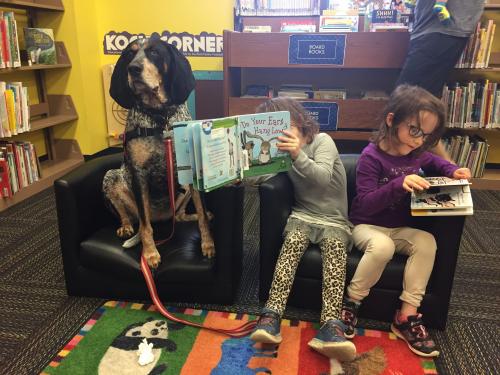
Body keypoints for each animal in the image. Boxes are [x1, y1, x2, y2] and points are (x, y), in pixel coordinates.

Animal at [103, 35, 215, 268]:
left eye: (154, 52)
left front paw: (208, 244)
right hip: (111, 177)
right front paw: (150, 253)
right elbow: (146, 227)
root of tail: (163, 218)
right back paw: (126, 226)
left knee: (180, 216)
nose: (133, 68)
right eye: (129, 53)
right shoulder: (139, 176)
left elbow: (200, 213)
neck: (160, 118)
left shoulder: (191, 170)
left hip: (182, 191)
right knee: (131, 216)